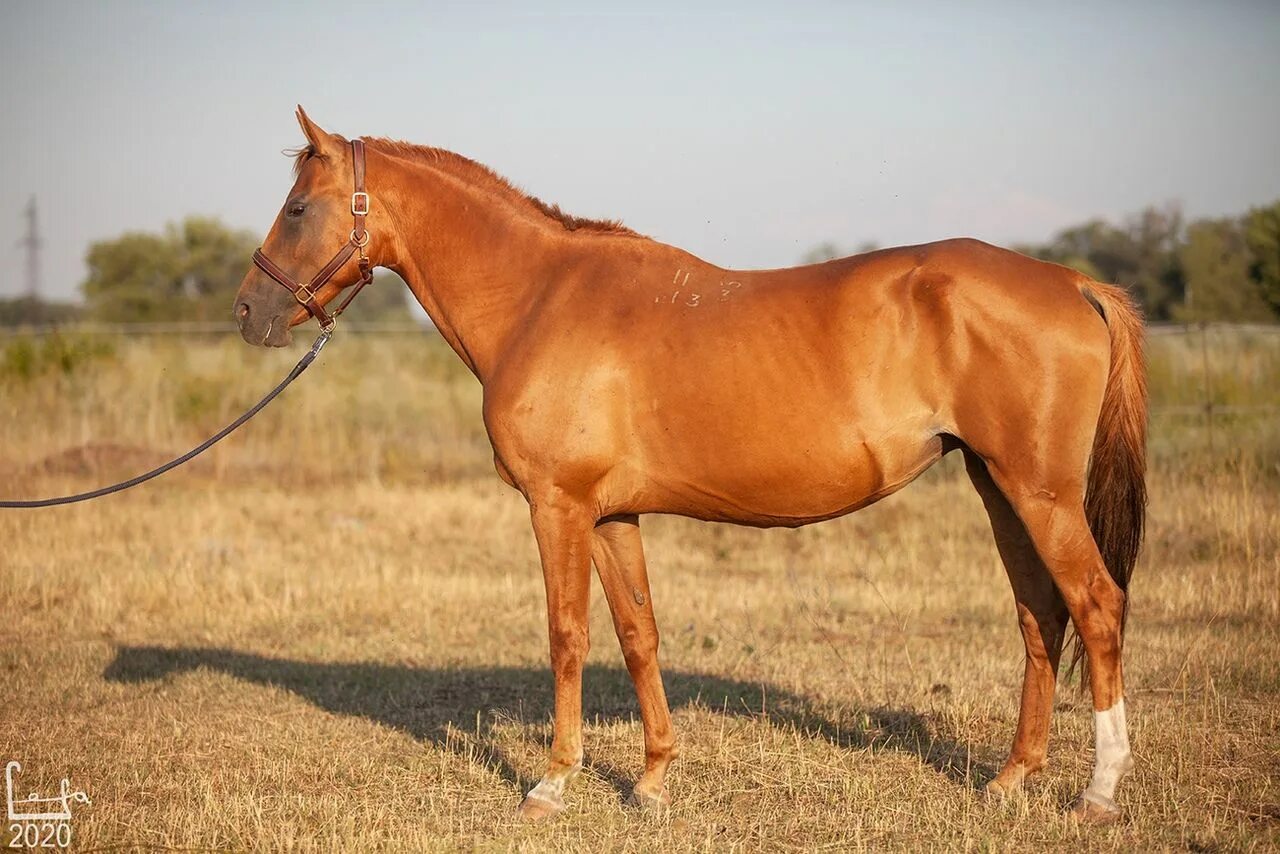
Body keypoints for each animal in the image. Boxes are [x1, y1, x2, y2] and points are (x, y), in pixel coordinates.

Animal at [235, 106, 1146, 819]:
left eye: (297, 207)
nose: (249, 311)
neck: (540, 298)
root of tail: (1073, 283)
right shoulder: (612, 515)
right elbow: (639, 634)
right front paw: (652, 781)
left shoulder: (558, 507)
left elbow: (567, 634)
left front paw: (552, 784)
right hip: (999, 486)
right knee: (1040, 616)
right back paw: (1010, 779)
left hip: (1039, 492)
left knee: (1097, 606)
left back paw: (1099, 791)